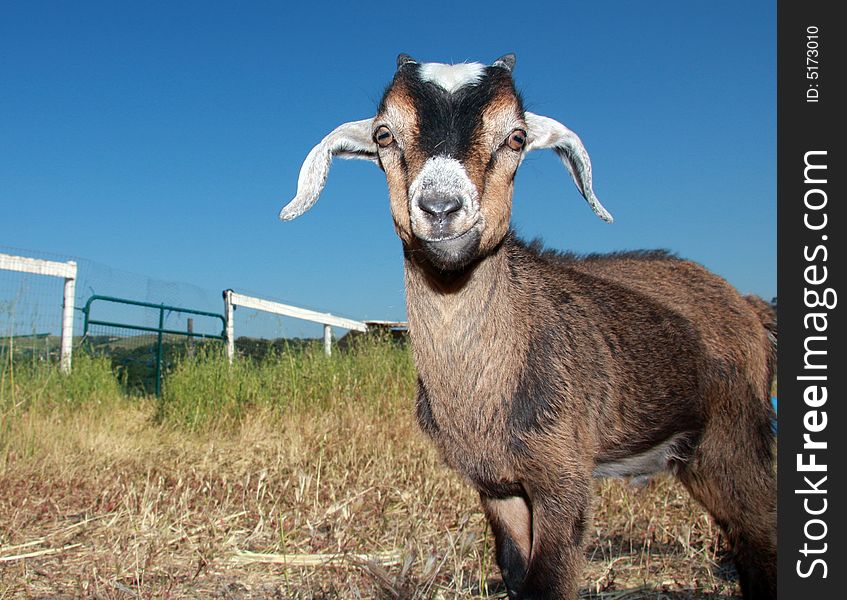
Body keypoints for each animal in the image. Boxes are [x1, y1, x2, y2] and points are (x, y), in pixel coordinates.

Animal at [278, 54, 776, 596]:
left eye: (515, 137)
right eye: (384, 134)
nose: (440, 207)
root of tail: (746, 305)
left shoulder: (564, 474)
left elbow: (549, 579)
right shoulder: (496, 485)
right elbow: (515, 569)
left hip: (734, 438)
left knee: (760, 533)